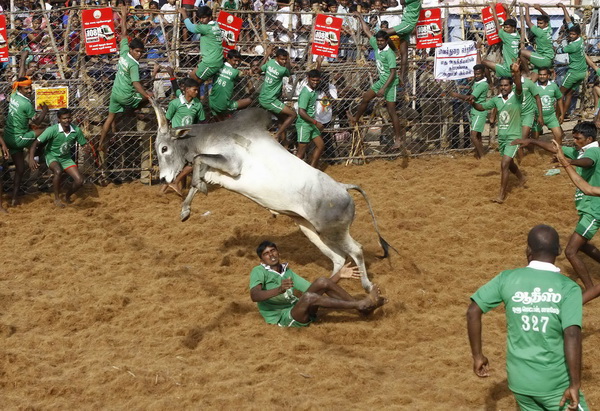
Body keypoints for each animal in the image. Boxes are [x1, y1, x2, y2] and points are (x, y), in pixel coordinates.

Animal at [152, 102, 394, 292]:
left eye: (164, 148)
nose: (163, 178)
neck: (209, 135)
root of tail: (344, 188)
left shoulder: (232, 164)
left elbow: (199, 160)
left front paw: (196, 188)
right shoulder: (217, 172)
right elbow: (199, 171)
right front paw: (186, 208)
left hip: (333, 231)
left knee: (357, 250)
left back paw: (367, 286)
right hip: (311, 230)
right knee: (338, 258)